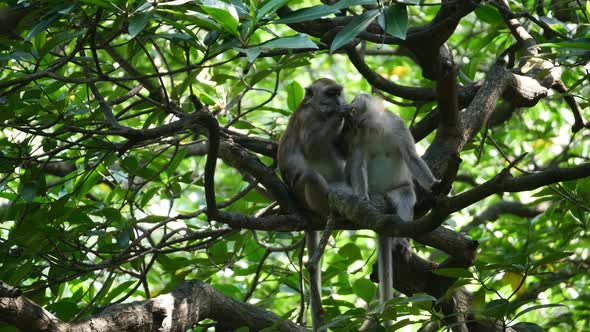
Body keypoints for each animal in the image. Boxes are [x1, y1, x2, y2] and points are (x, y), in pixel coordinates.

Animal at [342, 93, 440, 322]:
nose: (348, 112)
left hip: (395, 191)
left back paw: (402, 241)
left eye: (353, 107)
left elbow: (411, 156)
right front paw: (362, 197)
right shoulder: (357, 138)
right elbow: (358, 165)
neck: (373, 127)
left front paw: (433, 185)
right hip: (378, 195)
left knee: (405, 196)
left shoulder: (398, 125)